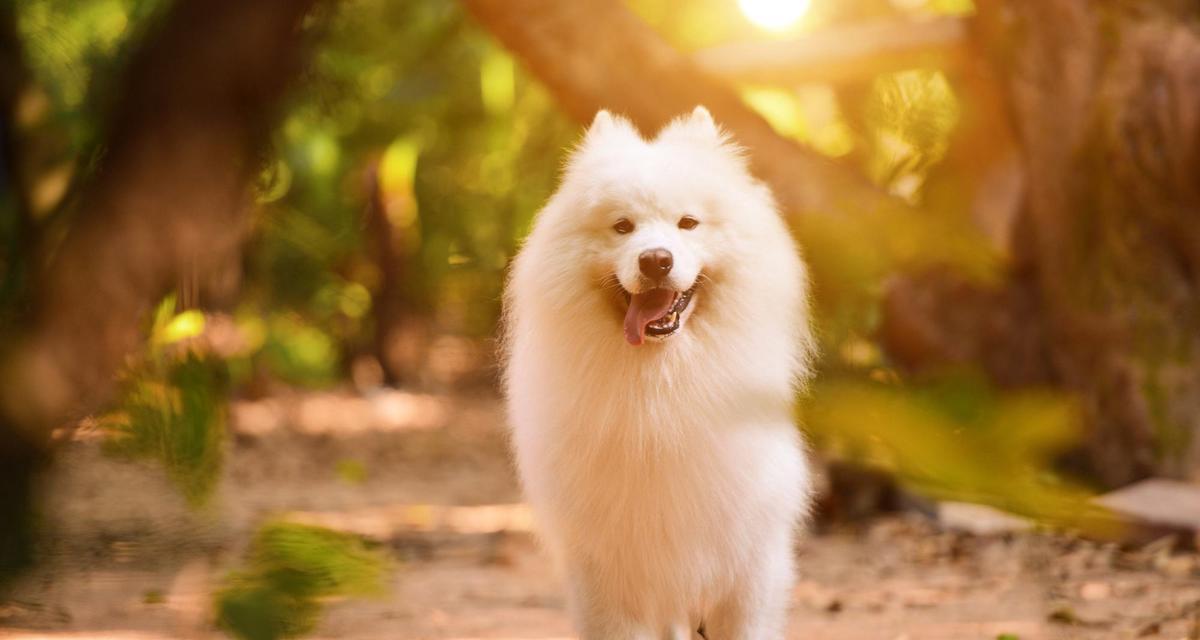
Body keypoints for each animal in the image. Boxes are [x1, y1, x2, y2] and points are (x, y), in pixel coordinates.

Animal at [496, 107, 816, 633]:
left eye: (688, 223)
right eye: (622, 227)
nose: (656, 260)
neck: (662, 389)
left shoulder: (750, 567)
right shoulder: (613, 575)